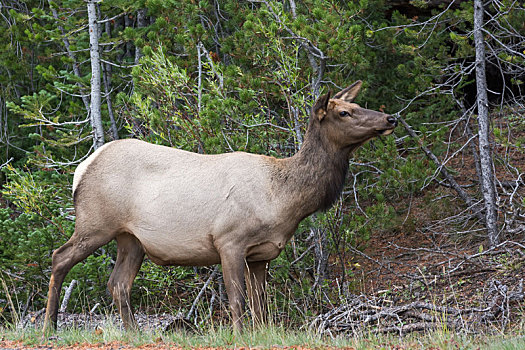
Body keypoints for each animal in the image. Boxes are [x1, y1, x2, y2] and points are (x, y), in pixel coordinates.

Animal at [43, 80, 396, 332]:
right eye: (344, 113)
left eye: (357, 104)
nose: (390, 117)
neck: (282, 199)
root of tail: (81, 169)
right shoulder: (229, 240)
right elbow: (237, 301)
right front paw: (241, 336)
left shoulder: (261, 254)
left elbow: (261, 305)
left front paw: (263, 333)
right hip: (95, 222)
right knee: (60, 257)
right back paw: (50, 327)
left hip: (131, 239)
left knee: (118, 283)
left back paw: (132, 333)